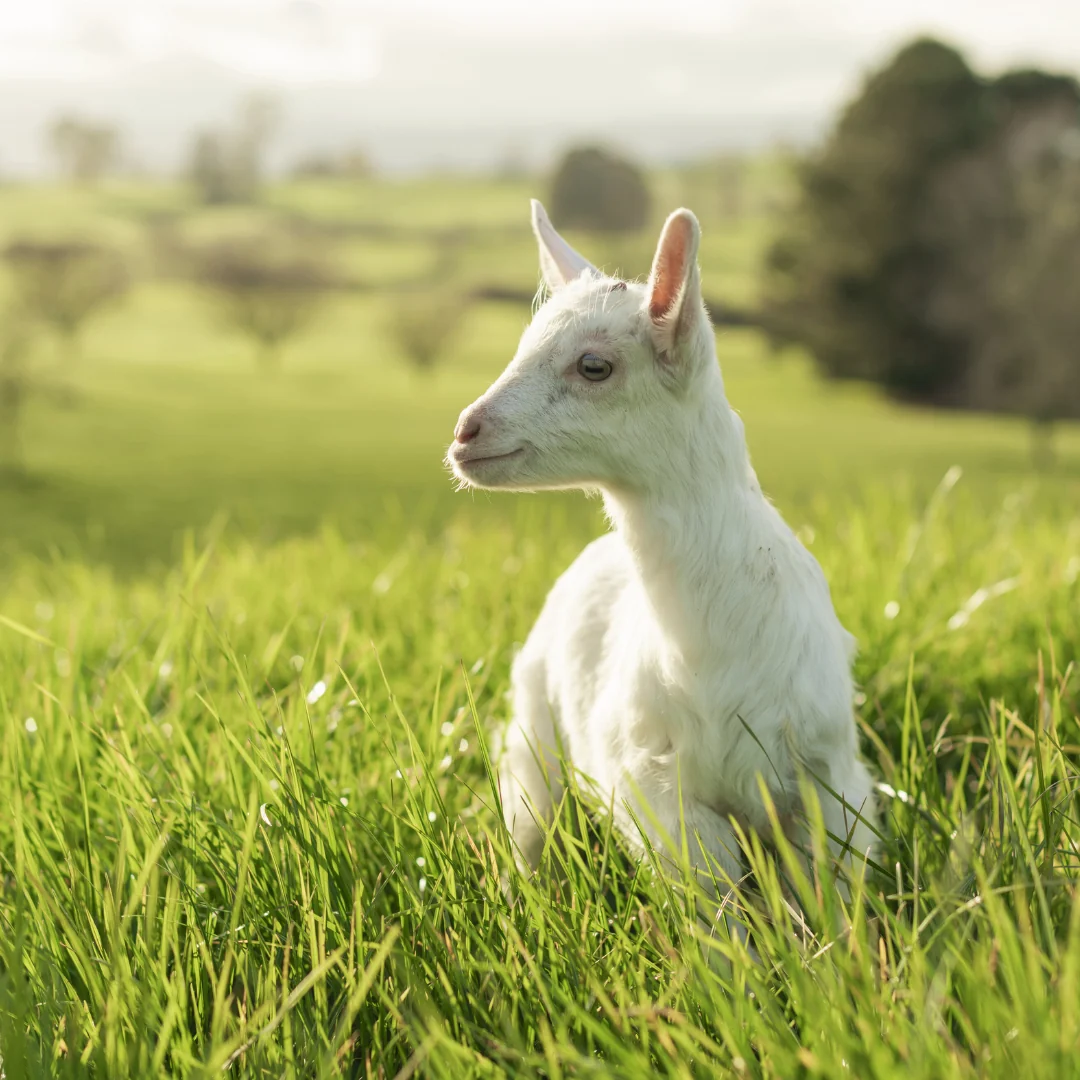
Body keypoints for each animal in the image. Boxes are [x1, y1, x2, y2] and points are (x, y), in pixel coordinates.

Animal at [447, 201, 876, 898]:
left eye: (594, 366)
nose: (465, 432)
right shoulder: (659, 795)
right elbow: (717, 903)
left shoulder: (832, 783)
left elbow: (831, 889)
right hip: (533, 738)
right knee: (531, 830)